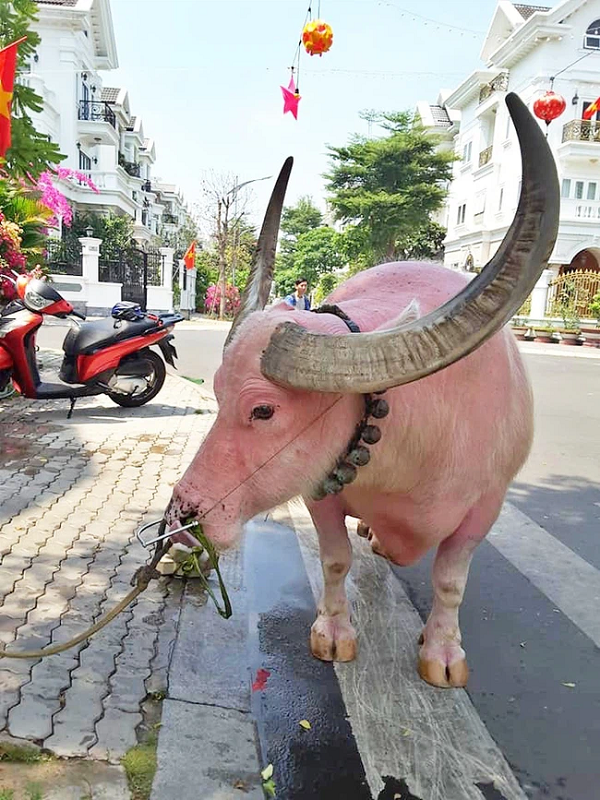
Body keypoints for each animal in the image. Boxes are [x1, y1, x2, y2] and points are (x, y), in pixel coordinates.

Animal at [166, 90, 560, 684]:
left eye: (263, 411)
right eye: (215, 394)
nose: (182, 524)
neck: (413, 442)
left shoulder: (485, 508)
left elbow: (451, 581)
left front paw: (443, 653)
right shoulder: (320, 488)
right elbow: (334, 560)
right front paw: (334, 632)